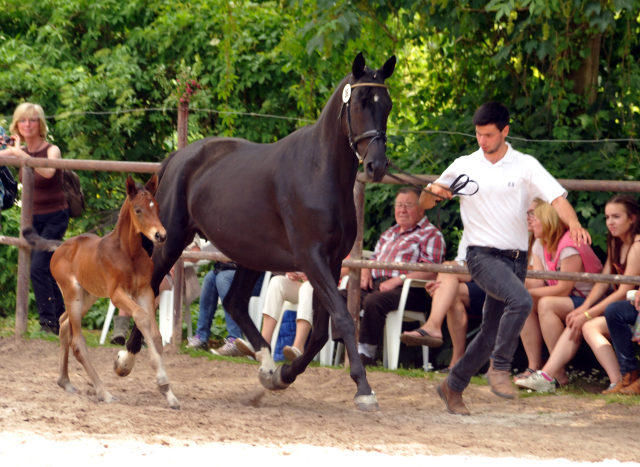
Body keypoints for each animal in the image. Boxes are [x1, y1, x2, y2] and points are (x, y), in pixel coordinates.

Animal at [24, 175, 179, 410]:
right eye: (138, 209)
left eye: (157, 207)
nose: (160, 235)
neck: (129, 253)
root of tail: (60, 247)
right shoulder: (118, 294)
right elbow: (141, 318)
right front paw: (162, 383)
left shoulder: (145, 292)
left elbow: (155, 334)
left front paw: (169, 394)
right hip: (73, 294)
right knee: (77, 342)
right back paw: (103, 393)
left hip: (88, 296)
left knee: (63, 322)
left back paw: (65, 381)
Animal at [122, 54, 396, 414]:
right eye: (361, 102)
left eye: (386, 104)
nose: (377, 165)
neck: (320, 173)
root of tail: (179, 157)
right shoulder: (311, 258)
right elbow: (343, 318)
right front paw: (364, 389)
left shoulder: (333, 262)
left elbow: (321, 332)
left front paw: (283, 375)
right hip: (172, 244)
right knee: (152, 288)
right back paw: (127, 360)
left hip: (250, 255)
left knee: (235, 302)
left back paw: (266, 367)